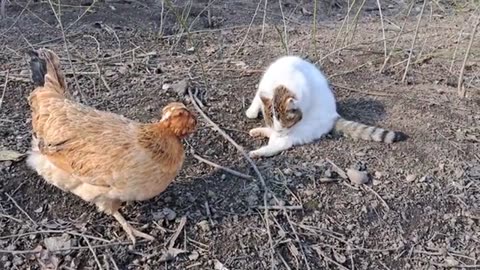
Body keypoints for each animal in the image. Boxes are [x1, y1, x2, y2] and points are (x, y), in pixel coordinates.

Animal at [246, 56, 406, 157]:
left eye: (285, 126)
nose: (280, 132)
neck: (281, 84)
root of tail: (334, 116)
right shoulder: (265, 83)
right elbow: (257, 98)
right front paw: (252, 111)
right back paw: (258, 131)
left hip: (304, 130)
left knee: (281, 144)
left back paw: (258, 152)